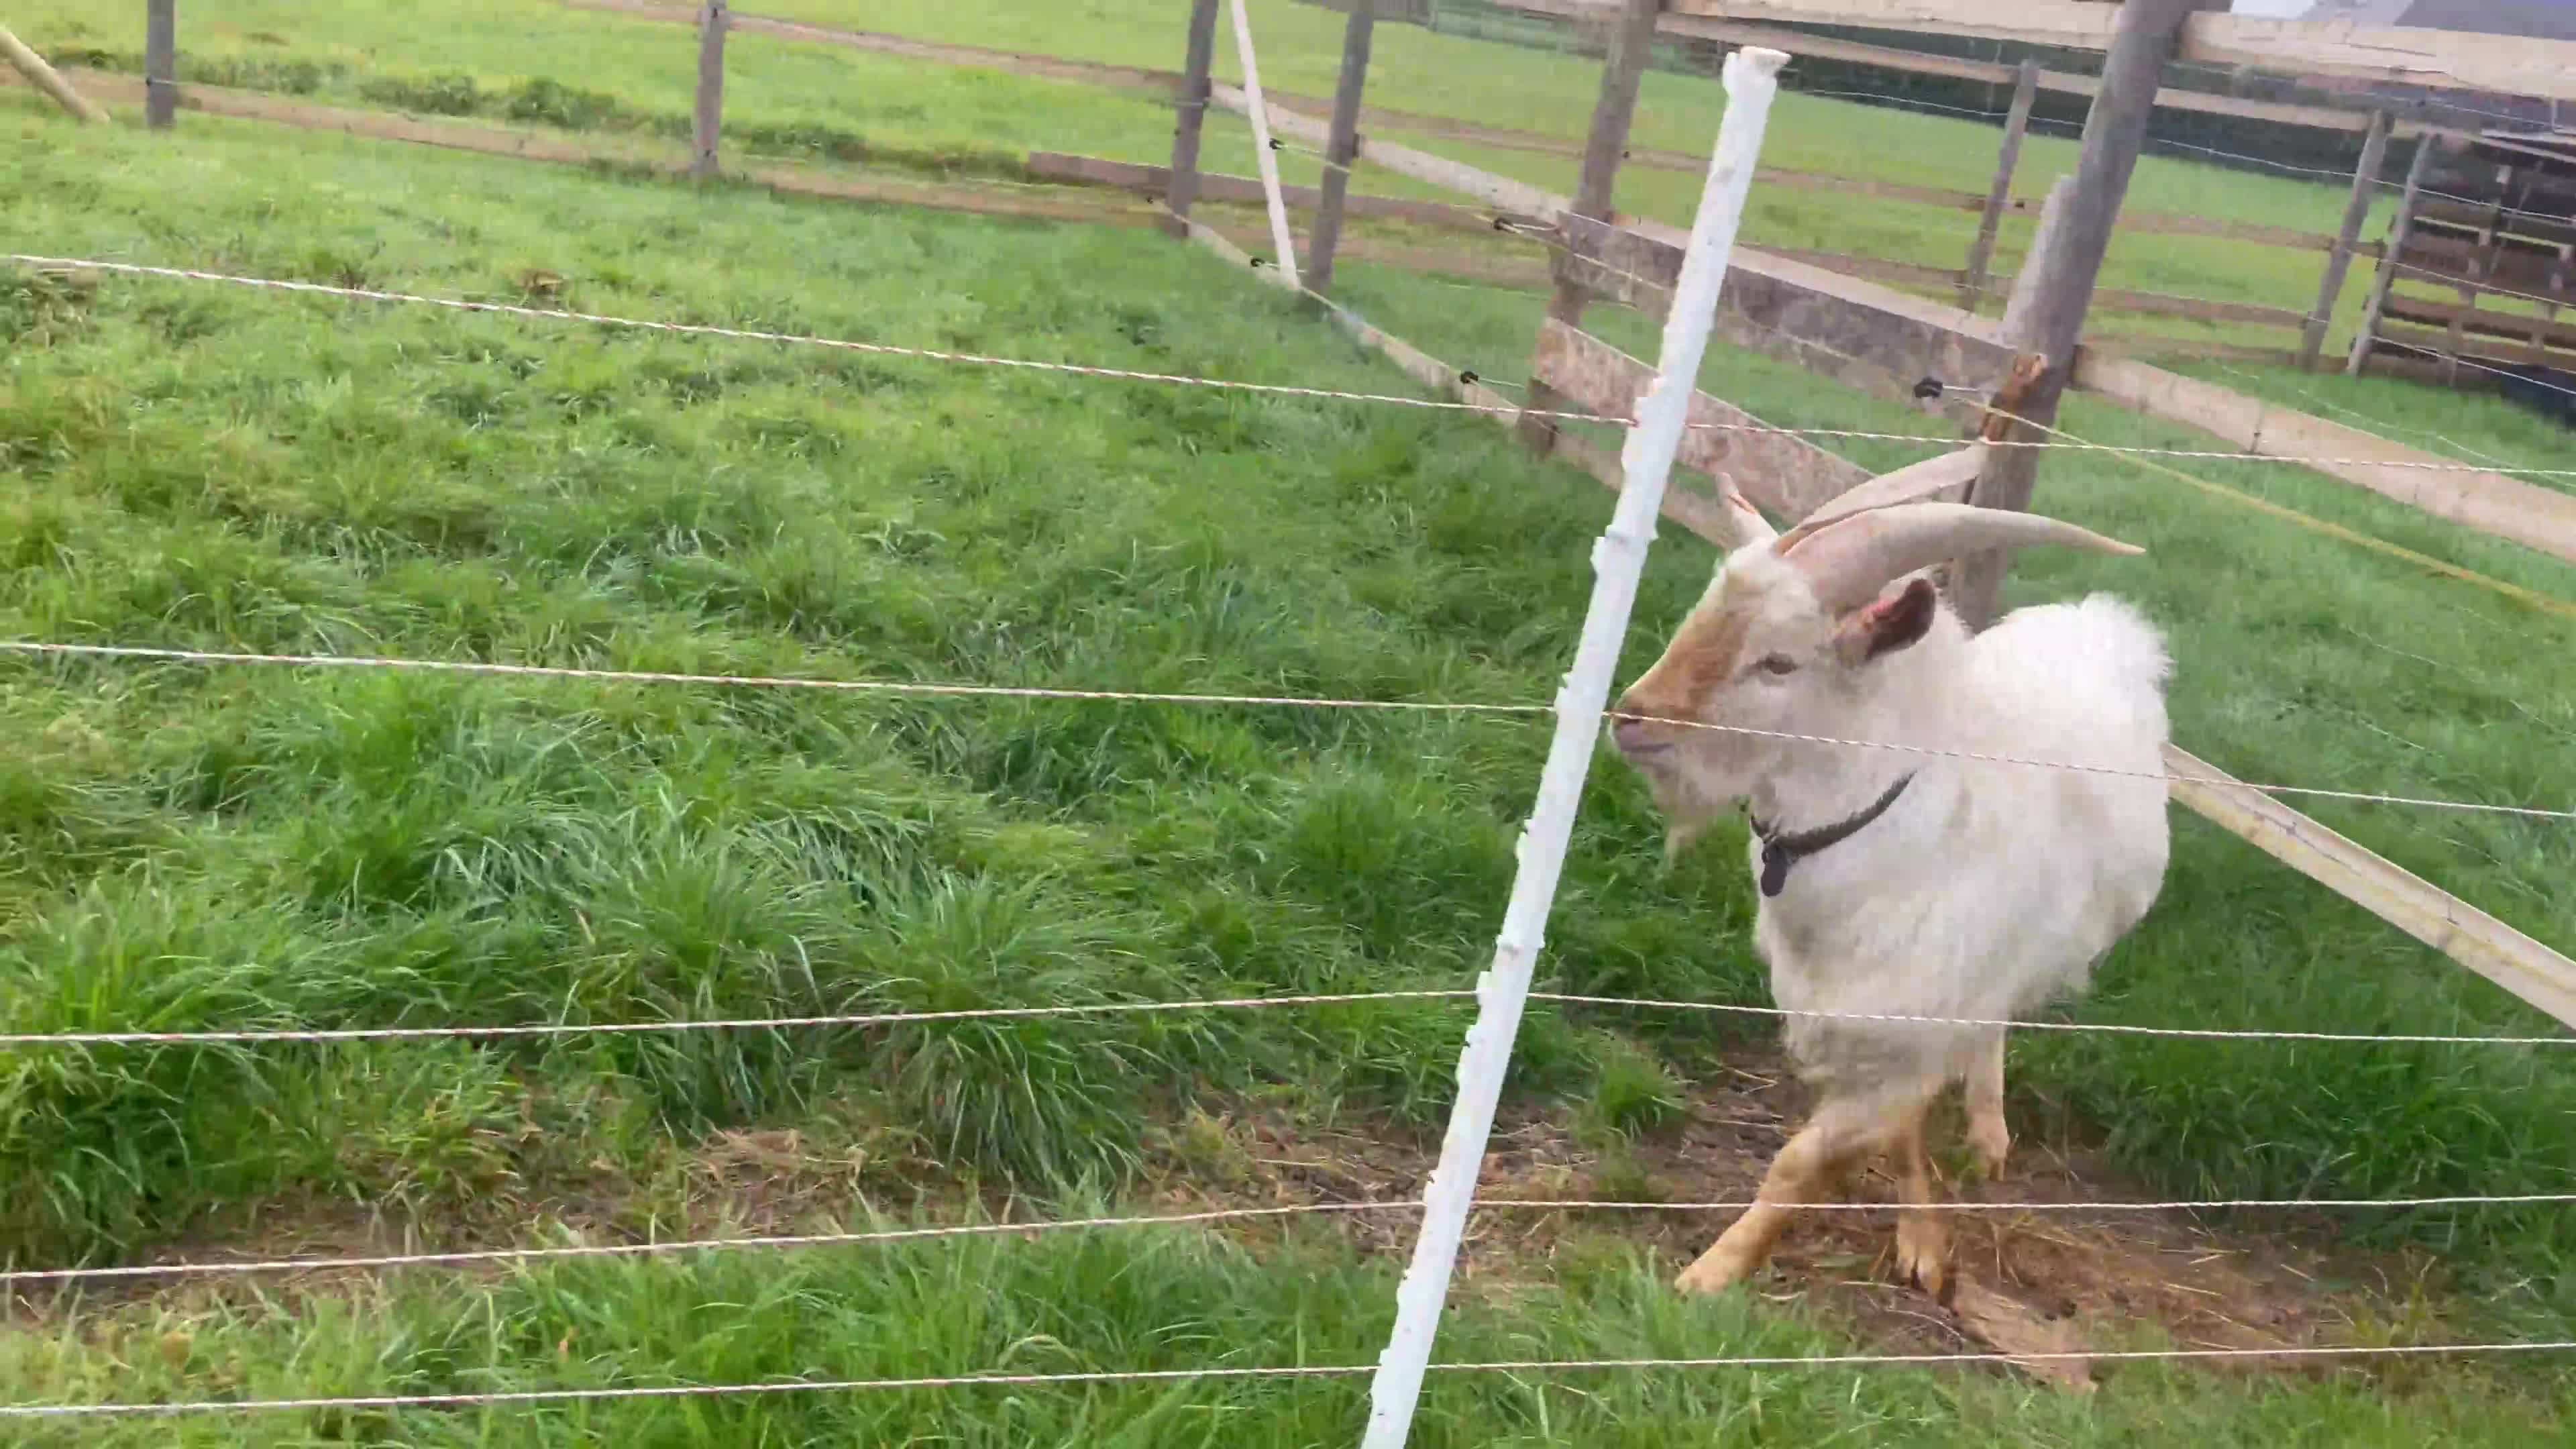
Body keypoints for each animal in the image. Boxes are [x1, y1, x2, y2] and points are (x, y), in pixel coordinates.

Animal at [1608, 484, 2172, 1300]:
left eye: (1778, 662)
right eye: (1703, 615)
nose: (1631, 718)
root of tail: (2098, 625)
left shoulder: (1914, 1026)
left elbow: (1801, 1162)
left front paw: (1712, 1273)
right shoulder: (1859, 1023)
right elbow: (1900, 1134)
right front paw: (1919, 1237)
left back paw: (1990, 1133)